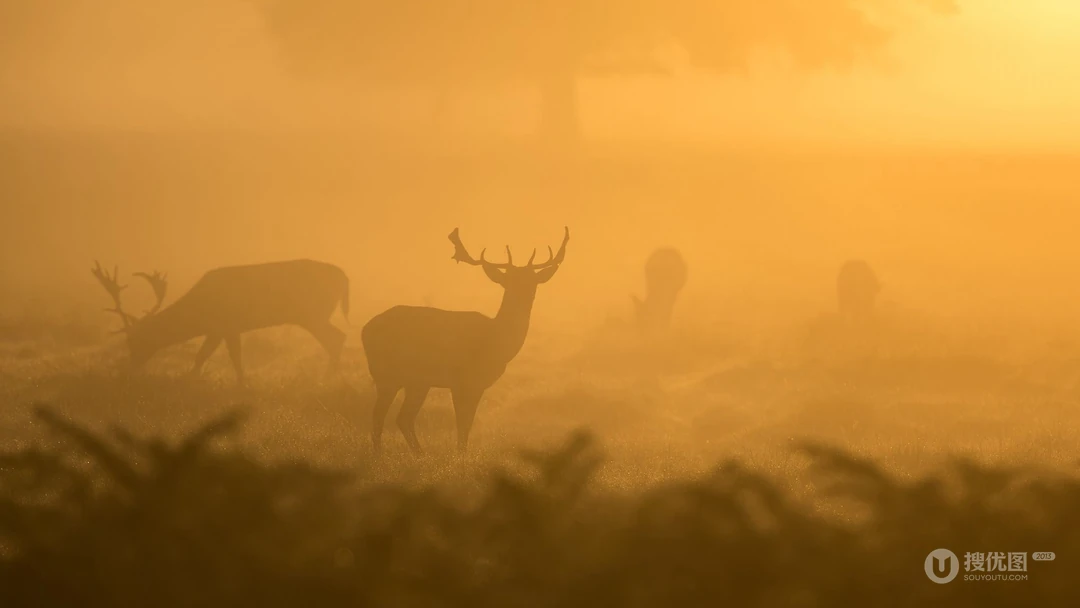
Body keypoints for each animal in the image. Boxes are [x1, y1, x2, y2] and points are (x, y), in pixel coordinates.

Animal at [91, 259, 350, 385]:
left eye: (135, 340)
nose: (127, 369)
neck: (200, 313)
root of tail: (344, 277)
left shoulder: (227, 324)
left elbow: (219, 355)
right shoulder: (220, 329)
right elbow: (211, 355)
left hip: (312, 314)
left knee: (336, 338)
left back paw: (325, 380)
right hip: (313, 315)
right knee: (337, 337)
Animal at [361, 226, 570, 455]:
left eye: (533, 281)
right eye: (508, 281)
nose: (525, 296)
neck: (496, 342)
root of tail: (365, 330)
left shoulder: (475, 384)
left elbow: (466, 423)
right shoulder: (462, 380)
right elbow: (463, 423)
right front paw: (461, 455)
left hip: (416, 381)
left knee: (402, 417)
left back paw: (419, 454)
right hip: (387, 374)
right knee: (380, 415)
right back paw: (382, 454)